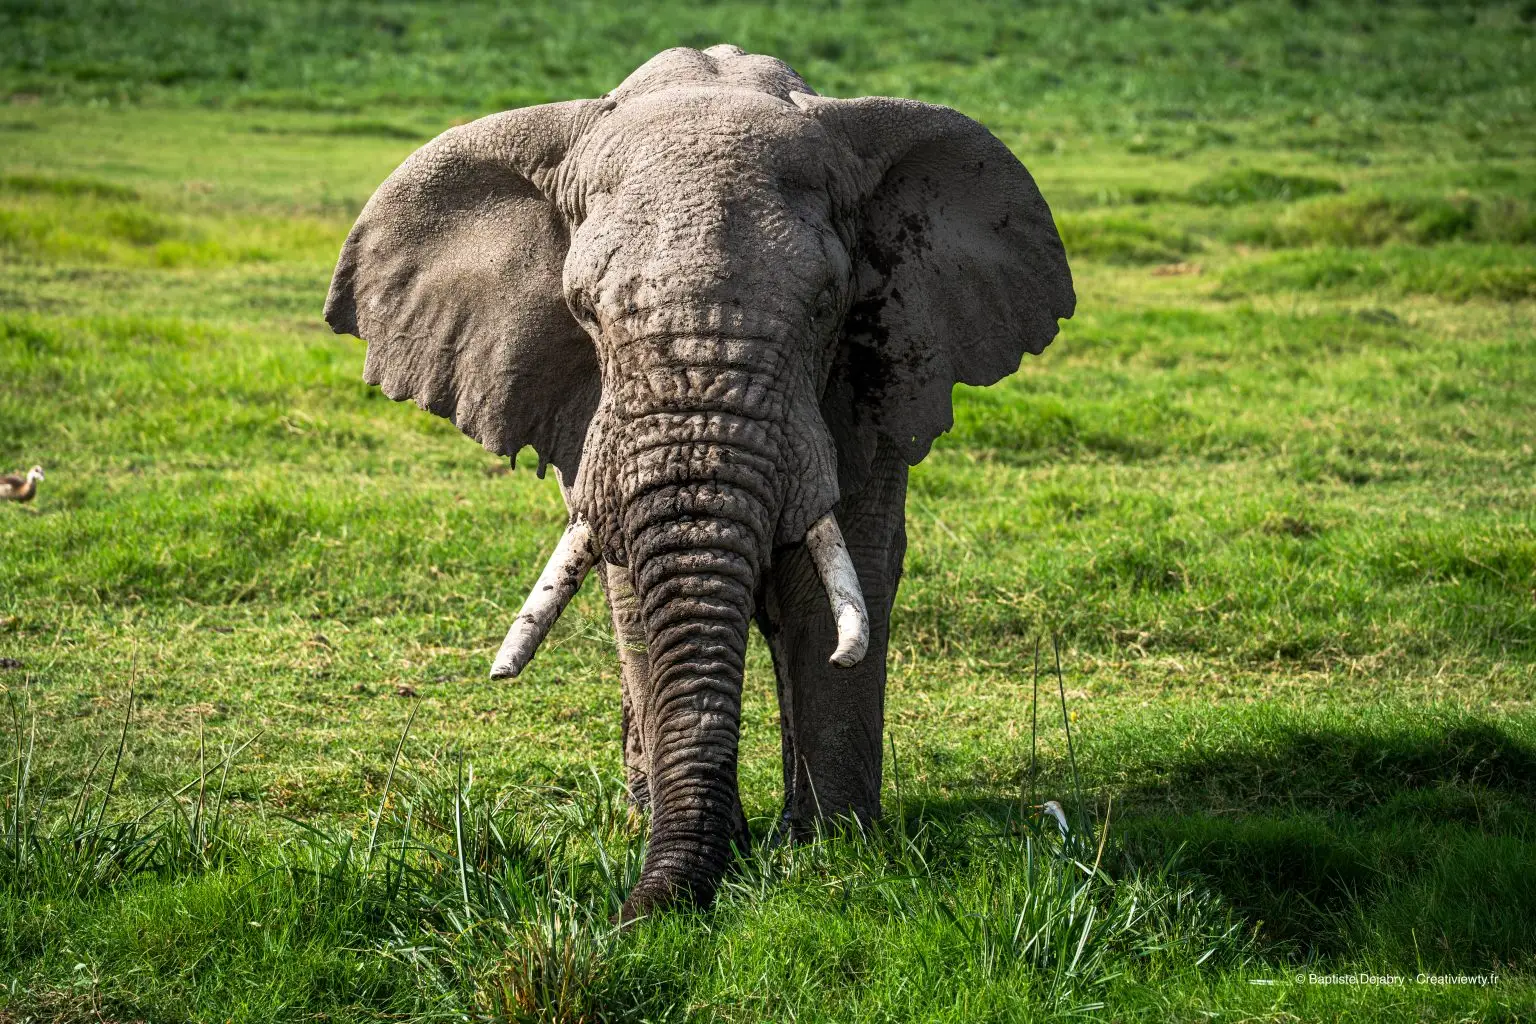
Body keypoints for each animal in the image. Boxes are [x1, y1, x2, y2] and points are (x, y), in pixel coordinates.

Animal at [324, 44, 1074, 921]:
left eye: (828, 305)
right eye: (582, 310)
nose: (630, 917)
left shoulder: (874, 378)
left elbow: (832, 587)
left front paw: (830, 849)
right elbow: (636, 600)